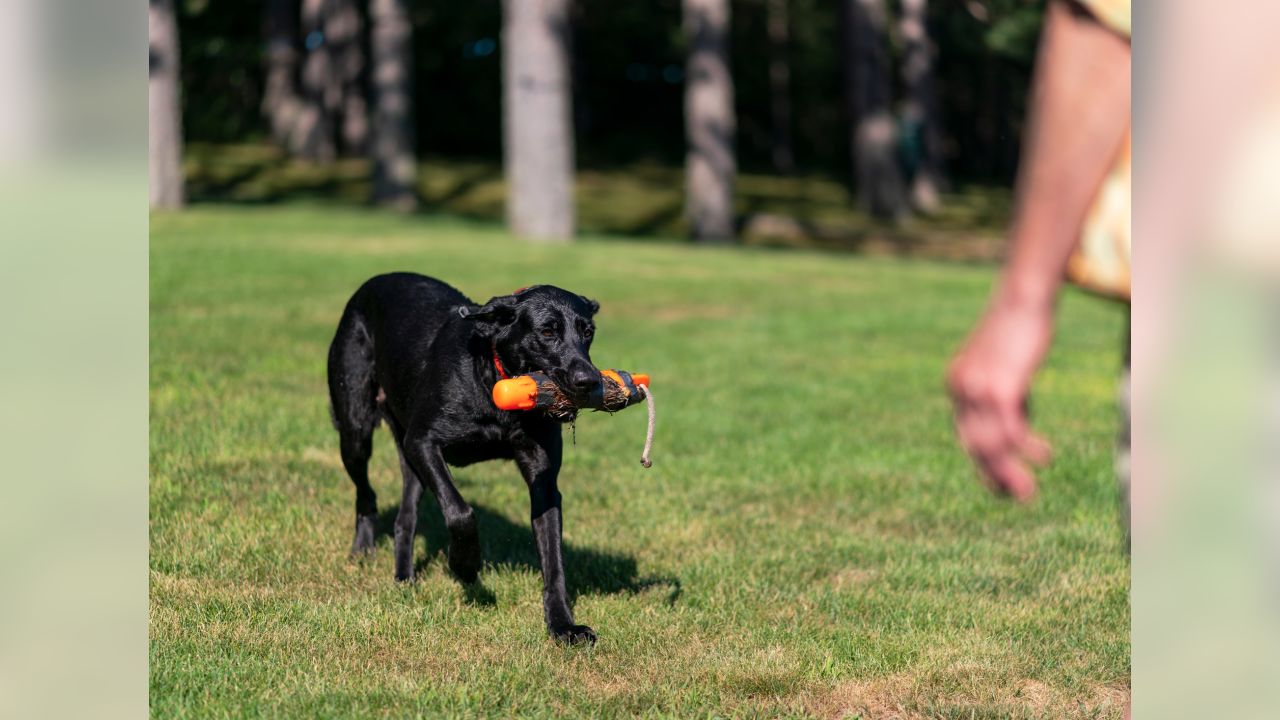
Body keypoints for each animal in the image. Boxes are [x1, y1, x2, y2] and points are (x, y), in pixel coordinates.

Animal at [330, 271, 609, 640]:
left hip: (408, 460)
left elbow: (554, 560)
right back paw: (363, 550)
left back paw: (404, 579)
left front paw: (563, 626)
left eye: (587, 331)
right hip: (356, 430)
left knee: (405, 519)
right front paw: (465, 565)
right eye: (548, 331)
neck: (493, 382)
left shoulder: (544, 481)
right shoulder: (422, 442)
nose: (589, 380)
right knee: (366, 494)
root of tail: (371, 283)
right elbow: (460, 511)